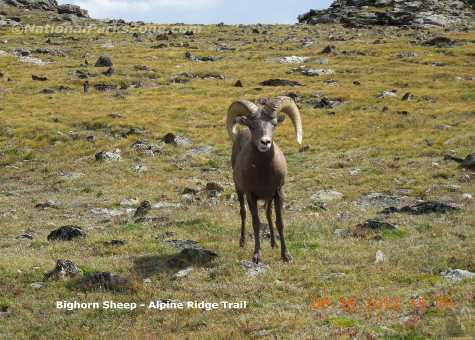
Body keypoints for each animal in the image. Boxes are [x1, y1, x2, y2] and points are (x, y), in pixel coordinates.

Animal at [225, 95, 304, 262]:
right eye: (252, 125)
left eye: (274, 124)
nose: (265, 142)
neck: (264, 173)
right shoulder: (251, 195)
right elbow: (256, 223)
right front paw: (256, 256)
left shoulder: (278, 193)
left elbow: (279, 222)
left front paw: (286, 255)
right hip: (239, 190)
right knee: (243, 213)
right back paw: (242, 242)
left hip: (268, 199)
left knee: (268, 214)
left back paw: (274, 244)